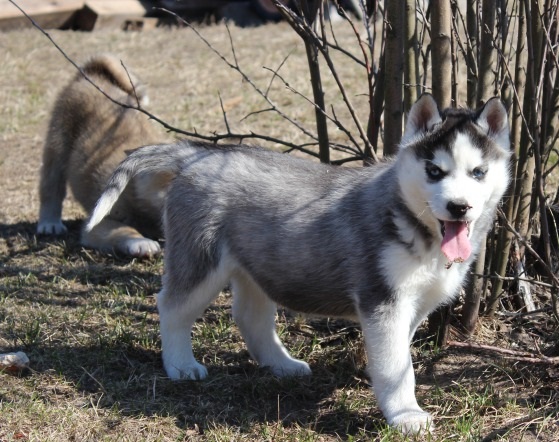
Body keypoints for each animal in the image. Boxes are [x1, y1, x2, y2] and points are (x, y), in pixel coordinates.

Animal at [87, 95, 512, 434]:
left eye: (478, 172)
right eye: (434, 171)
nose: (459, 207)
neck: (414, 222)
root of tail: (199, 154)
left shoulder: (412, 303)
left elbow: (398, 355)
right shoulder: (382, 299)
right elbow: (397, 365)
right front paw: (406, 415)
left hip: (256, 265)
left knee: (250, 317)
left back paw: (282, 364)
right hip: (201, 259)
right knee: (173, 306)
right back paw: (181, 365)